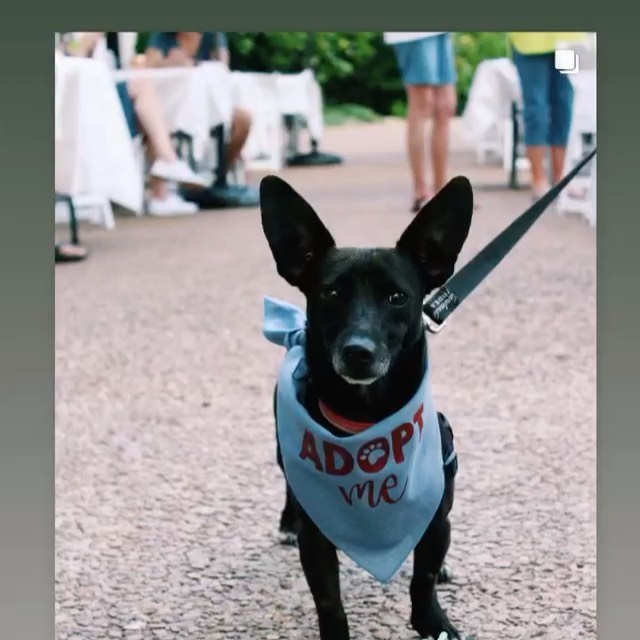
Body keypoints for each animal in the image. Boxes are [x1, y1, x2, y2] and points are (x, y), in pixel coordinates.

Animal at [258, 175, 472, 640]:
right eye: (331, 292)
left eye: (397, 297)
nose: (358, 352)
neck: (366, 419)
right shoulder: (317, 540)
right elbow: (328, 600)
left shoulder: (435, 519)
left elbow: (423, 576)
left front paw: (434, 623)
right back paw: (286, 522)